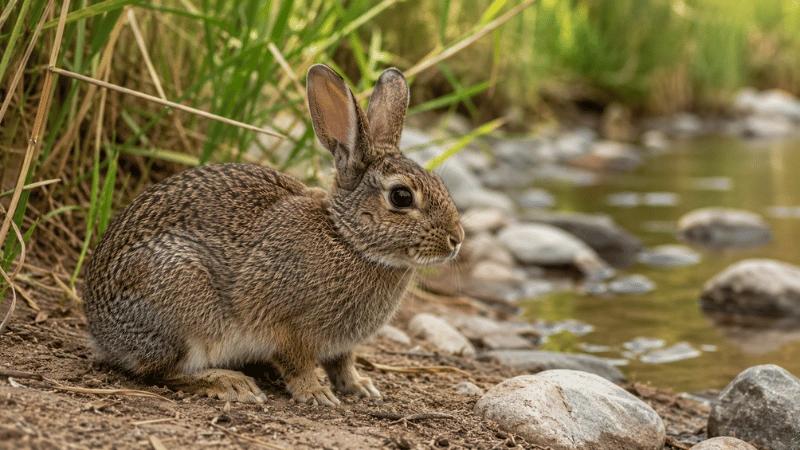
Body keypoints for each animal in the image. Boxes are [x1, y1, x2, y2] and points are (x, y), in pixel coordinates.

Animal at [82, 64, 464, 406]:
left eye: (440, 183)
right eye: (401, 197)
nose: (456, 238)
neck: (348, 238)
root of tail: (101, 331)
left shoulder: (341, 345)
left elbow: (343, 363)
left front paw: (361, 386)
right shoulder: (285, 327)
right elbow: (297, 363)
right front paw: (316, 393)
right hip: (182, 304)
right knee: (160, 371)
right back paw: (230, 383)